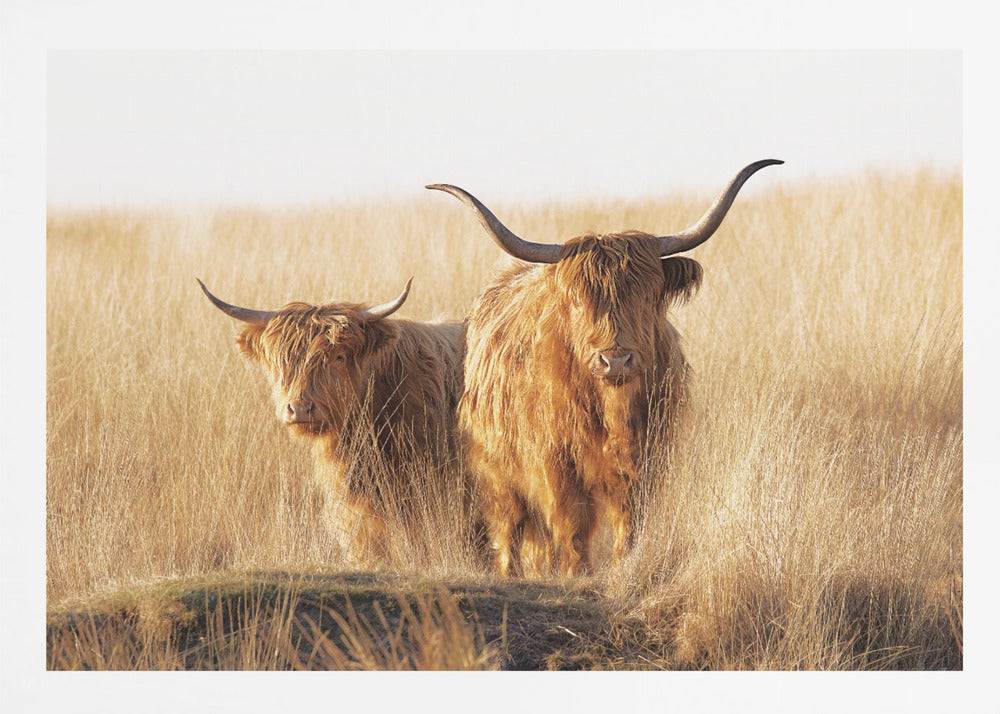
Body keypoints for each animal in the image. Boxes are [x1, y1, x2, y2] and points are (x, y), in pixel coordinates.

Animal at [427, 159, 782, 576]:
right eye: (579, 301)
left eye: (646, 297)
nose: (616, 359)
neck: (612, 410)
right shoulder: (554, 463)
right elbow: (570, 522)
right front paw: (576, 572)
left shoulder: (646, 458)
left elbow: (629, 519)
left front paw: (622, 565)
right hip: (496, 471)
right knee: (509, 527)